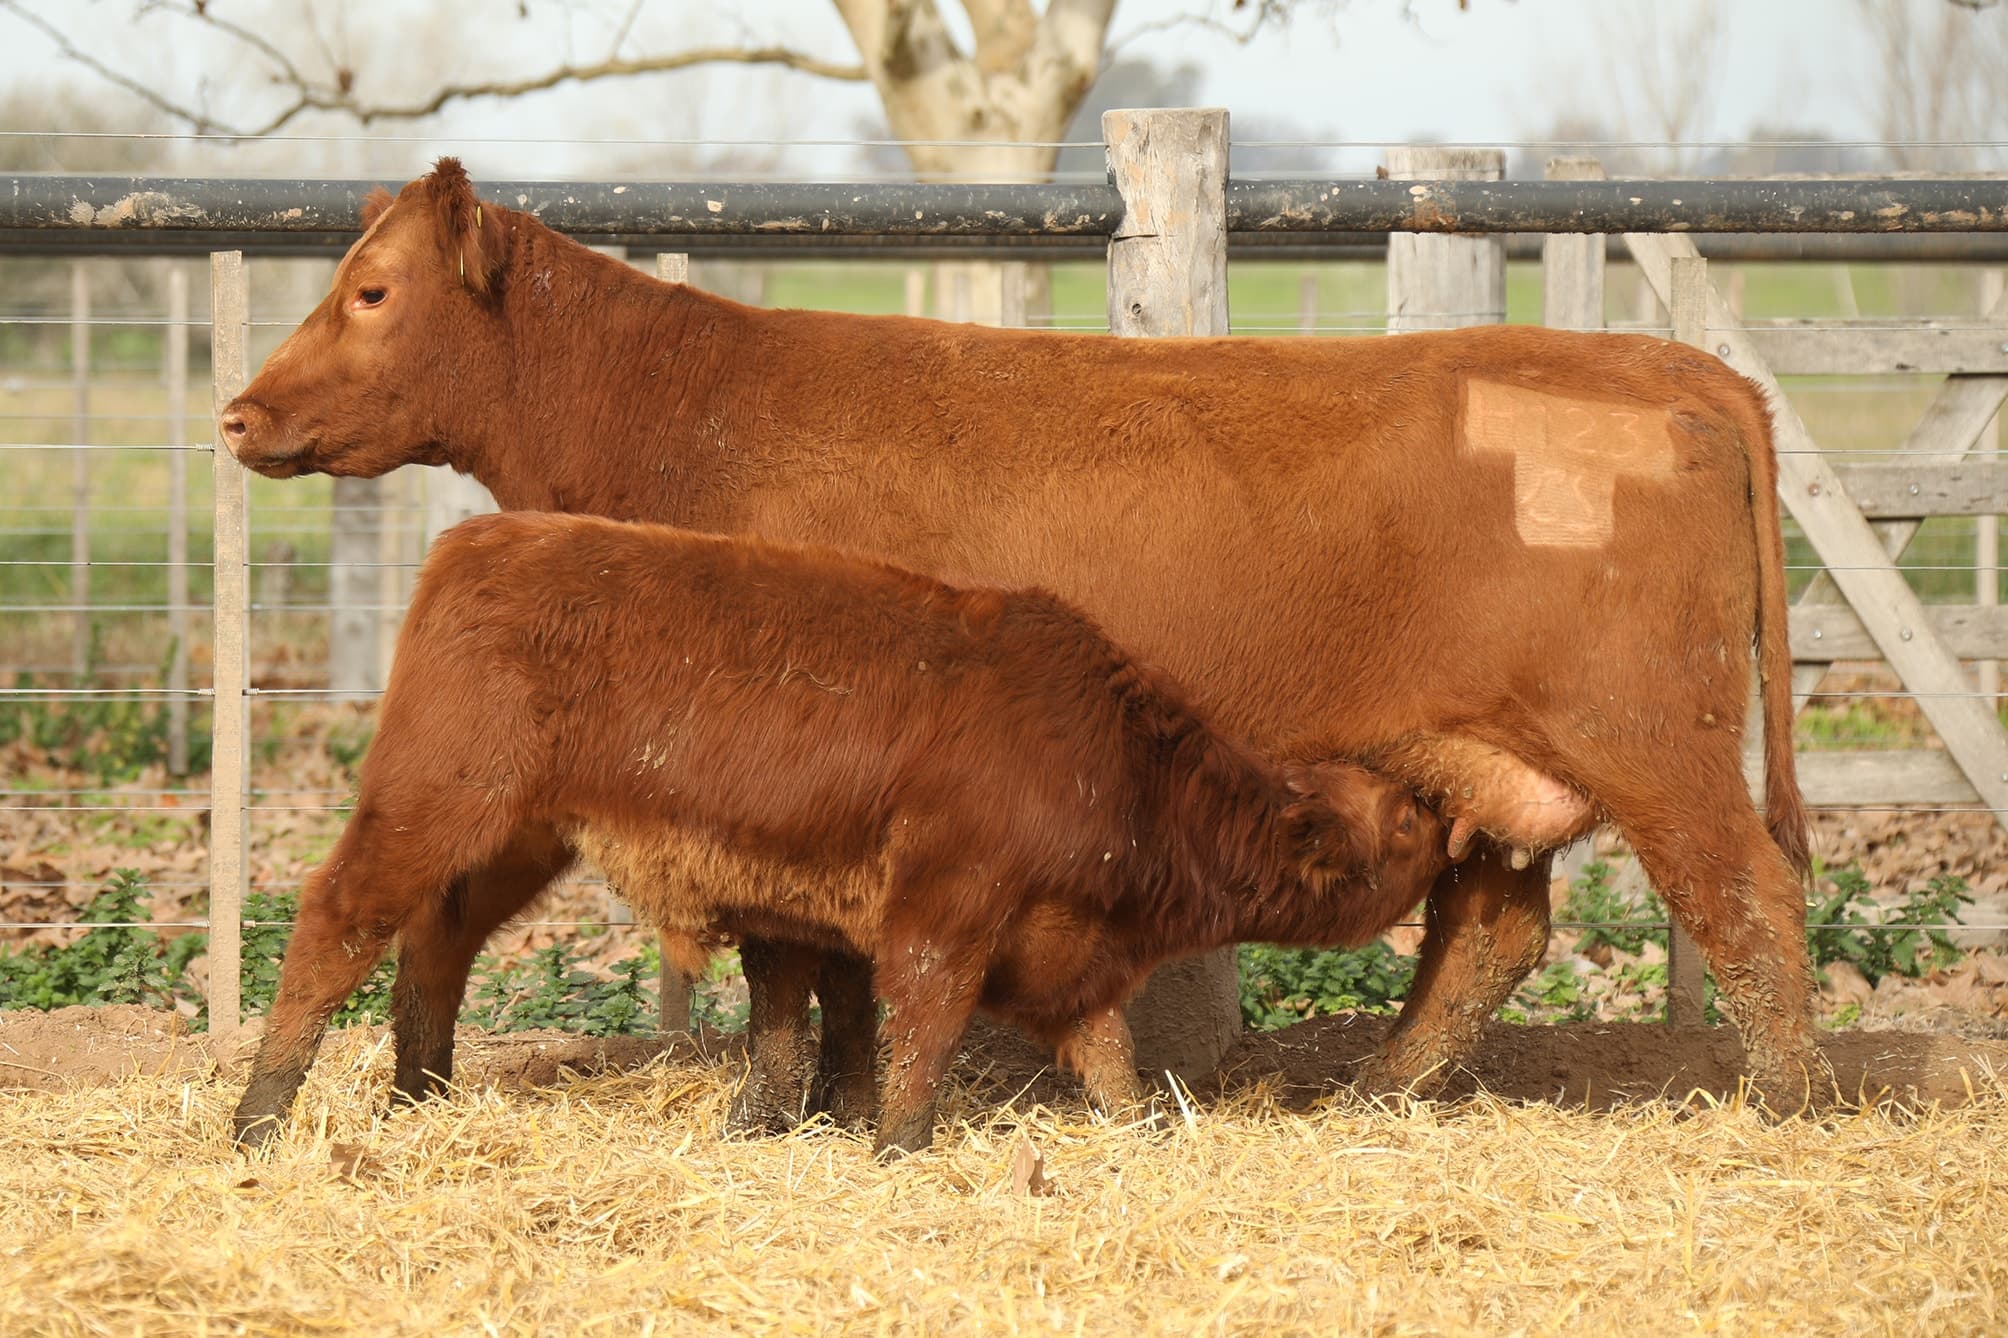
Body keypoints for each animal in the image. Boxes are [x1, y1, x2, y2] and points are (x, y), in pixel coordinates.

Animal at [230, 512, 1452, 1156]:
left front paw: (1144, 1137)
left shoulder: (1066, 961)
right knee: (335, 921)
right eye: (1400, 815)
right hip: (432, 805)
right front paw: (898, 1150)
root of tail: (485, 535)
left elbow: (1107, 1061)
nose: (1449, 811)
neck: (1117, 760)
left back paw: (417, 1096)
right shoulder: (941, 915)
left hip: (516, 839)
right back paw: (259, 1115)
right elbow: (916, 1038)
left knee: (434, 945)